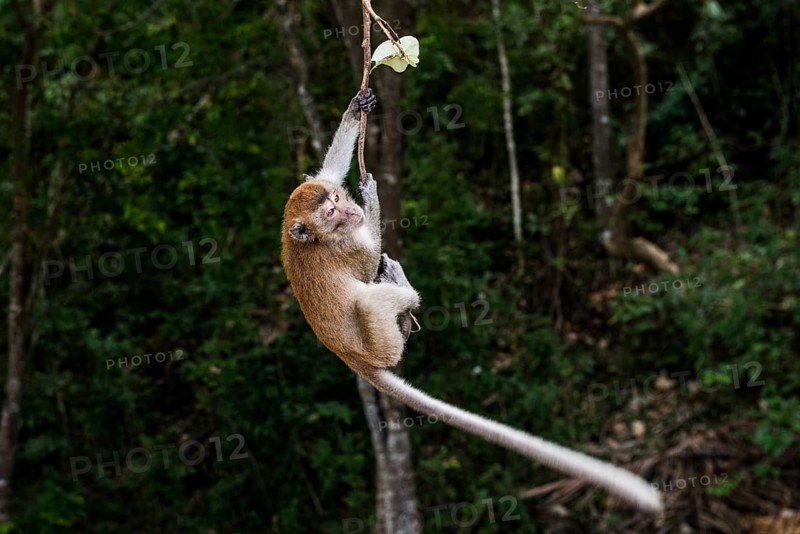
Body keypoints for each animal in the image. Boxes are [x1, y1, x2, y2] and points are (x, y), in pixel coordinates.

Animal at [281, 90, 662, 513]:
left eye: (333, 197)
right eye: (331, 212)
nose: (351, 210)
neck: (317, 237)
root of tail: (350, 360)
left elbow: (329, 167)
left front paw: (356, 108)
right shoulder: (346, 247)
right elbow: (366, 264)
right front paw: (373, 199)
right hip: (375, 343)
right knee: (369, 304)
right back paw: (404, 295)